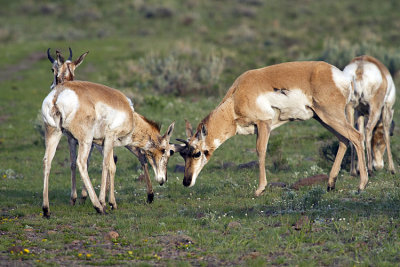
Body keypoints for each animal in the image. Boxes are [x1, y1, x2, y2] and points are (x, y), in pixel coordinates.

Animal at [40, 80, 175, 218]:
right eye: (166, 151)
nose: (163, 180)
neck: (130, 115)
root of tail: (59, 93)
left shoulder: (105, 144)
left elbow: (112, 166)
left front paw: (112, 203)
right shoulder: (109, 138)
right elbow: (106, 165)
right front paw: (105, 202)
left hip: (54, 133)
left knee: (47, 162)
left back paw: (46, 210)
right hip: (85, 140)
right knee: (81, 163)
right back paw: (98, 207)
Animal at [177, 60, 368, 196]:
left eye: (197, 153)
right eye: (183, 154)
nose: (186, 181)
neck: (235, 98)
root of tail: (339, 75)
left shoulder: (264, 124)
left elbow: (261, 151)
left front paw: (260, 189)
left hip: (331, 116)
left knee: (356, 136)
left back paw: (361, 185)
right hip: (322, 118)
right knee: (344, 140)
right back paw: (331, 184)